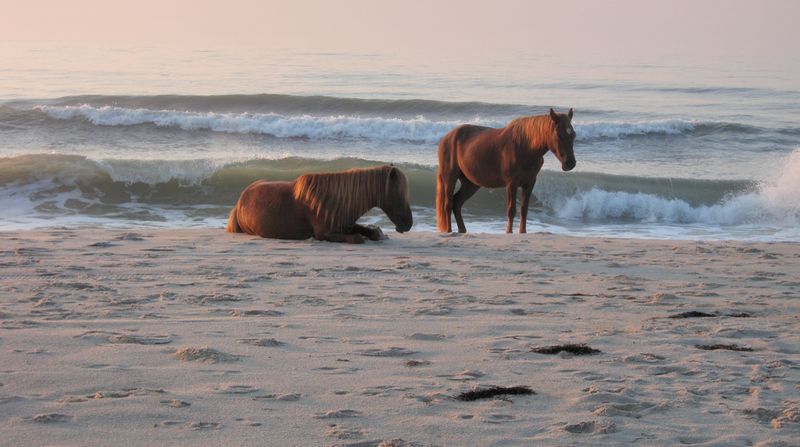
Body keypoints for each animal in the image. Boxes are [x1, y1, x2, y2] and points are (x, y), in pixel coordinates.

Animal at [227, 165, 413, 243]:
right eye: (398, 194)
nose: (408, 224)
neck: (333, 199)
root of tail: (241, 200)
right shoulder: (325, 233)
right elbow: (358, 238)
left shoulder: (346, 224)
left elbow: (371, 232)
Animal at [436, 108, 576, 234]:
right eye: (558, 134)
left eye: (573, 135)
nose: (570, 163)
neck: (525, 146)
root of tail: (446, 138)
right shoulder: (511, 184)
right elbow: (511, 210)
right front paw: (509, 232)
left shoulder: (529, 183)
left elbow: (524, 210)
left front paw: (522, 232)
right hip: (450, 178)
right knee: (448, 204)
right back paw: (449, 231)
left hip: (471, 184)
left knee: (457, 203)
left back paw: (462, 230)